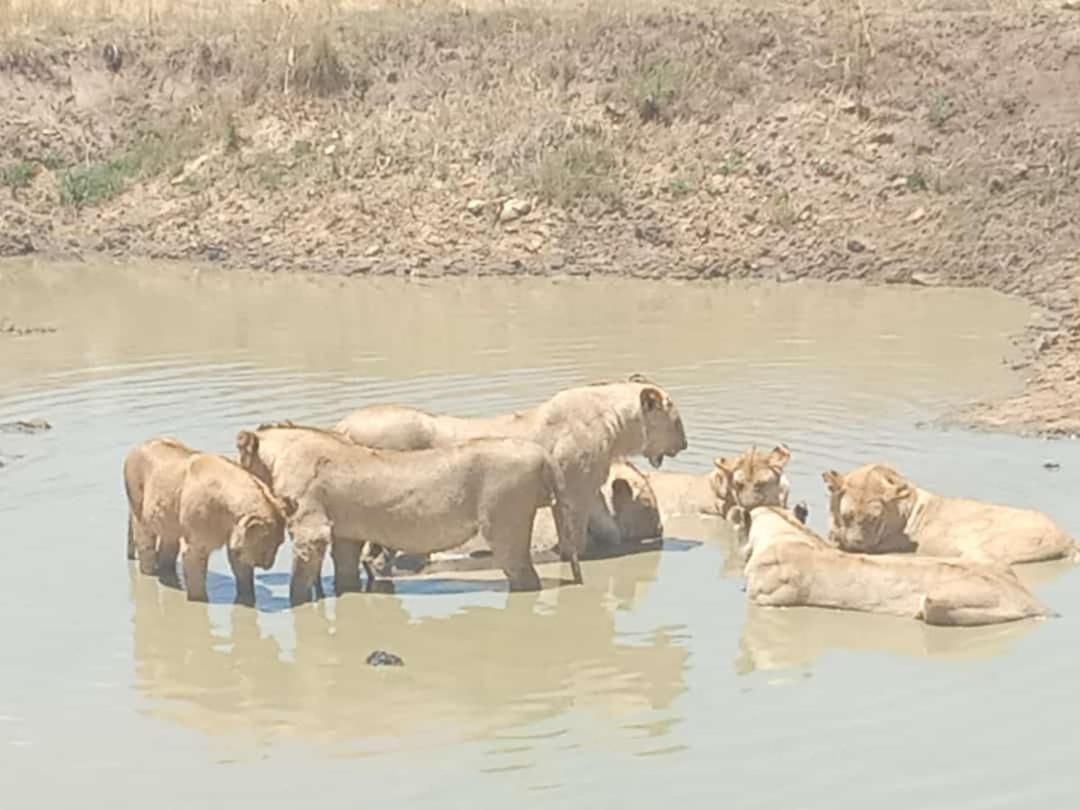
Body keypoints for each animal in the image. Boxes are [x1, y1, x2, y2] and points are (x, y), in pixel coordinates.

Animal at [123, 440, 295, 604]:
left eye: (280, 543)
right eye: (269, 544)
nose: (268, 565)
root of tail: (137, 447)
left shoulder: (239, 541)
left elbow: (243, 573)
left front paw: (247, 601)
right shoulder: (196, 545)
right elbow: (196, 582)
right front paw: (201, 602)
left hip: (169, 523)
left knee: (167, 552)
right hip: (139, 510)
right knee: (145, 544)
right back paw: (150, 571)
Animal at [235, 425, 574, 604]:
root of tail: (543, 455)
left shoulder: (312, 528)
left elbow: (299, 581)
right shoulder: (346, 534)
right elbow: (345, 575)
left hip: (505, 527)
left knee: (526, 578)